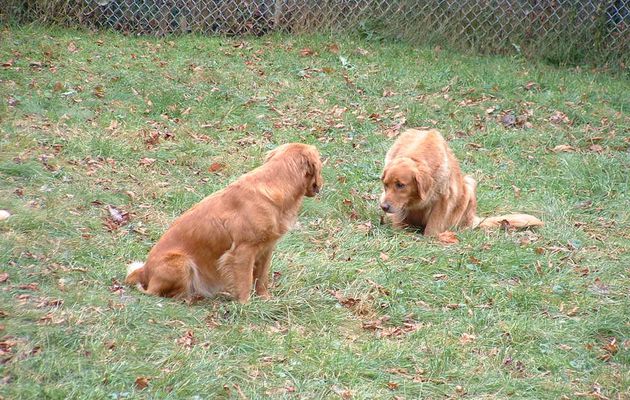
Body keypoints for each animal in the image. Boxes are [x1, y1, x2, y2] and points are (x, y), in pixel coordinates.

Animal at [128, 144, 326, 304]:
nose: (322, 184)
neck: (276, 184)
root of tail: (143, 271)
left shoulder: (266, 249)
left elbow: (261, 279)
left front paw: (265, 300)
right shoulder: (243, 251)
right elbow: (245, 282)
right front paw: (245, 306)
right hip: (183, 263)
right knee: (157, 293)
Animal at [380, 128, 544, 236]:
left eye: (400, 185)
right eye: (385, 185)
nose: (383, 207)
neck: (416, 155)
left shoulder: (443, 197)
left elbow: (433, 228)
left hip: (469, 186)